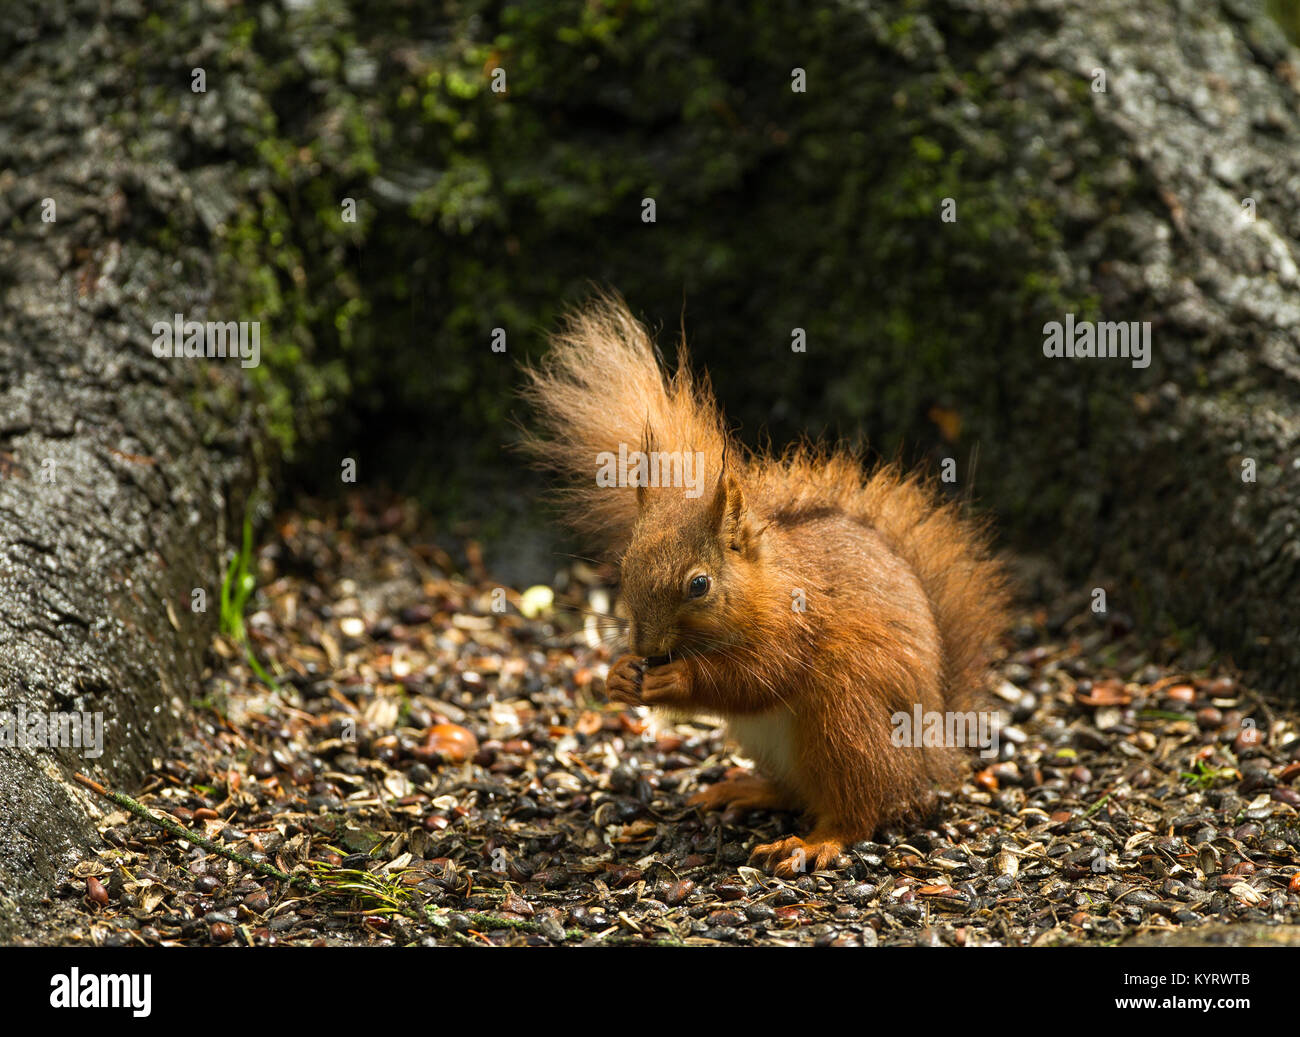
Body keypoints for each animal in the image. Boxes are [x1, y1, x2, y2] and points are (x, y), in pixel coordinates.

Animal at [522, 294, 1008, 878]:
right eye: (625, 566)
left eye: (699, 585)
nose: (645, 647)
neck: (762, 587)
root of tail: (927, 757)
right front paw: (618, 676)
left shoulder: (796, 624)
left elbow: (759, 677)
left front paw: (678, 679)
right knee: (796, 793)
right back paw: (744, 790)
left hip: (846, 720)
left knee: (856, 810)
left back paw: (813, 843)